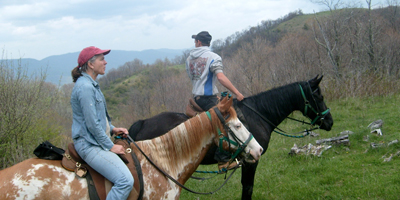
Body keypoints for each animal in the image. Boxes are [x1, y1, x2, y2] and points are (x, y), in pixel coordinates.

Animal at [129, 74, 334, 198]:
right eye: (319, 97)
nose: (330, 122)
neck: (258, 114)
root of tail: (142, 122)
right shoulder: (251, 160)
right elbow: (247, 187)